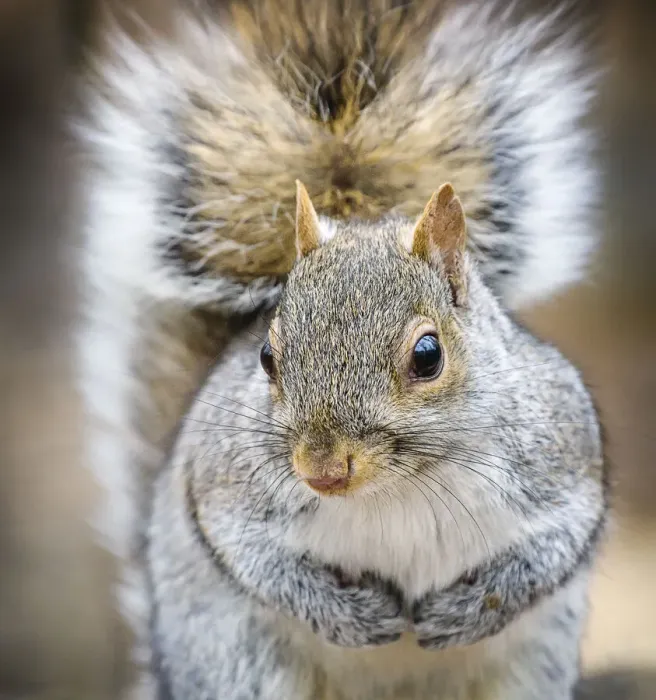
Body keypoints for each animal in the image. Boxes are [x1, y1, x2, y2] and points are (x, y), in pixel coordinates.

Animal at [75, 1, 606, 698]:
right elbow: (248, 552)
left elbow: (558, 546)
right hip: (238, 665)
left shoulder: (562, 453)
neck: (400, 487)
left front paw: (471, 608)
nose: (321, 470)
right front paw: (348, 615)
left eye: (428, 356)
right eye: (267, 357)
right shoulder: (222, 478)